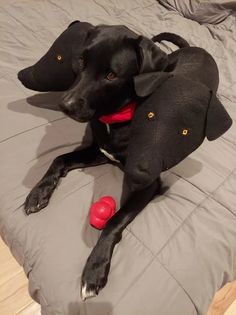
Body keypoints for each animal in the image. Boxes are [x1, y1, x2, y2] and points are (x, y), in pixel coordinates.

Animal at [17, 22, 231, 302]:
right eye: (81, 61)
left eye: (111, 75)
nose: (65, 104)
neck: (117, 119)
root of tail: (195, 48)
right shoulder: (98, 151)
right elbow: (59, 158)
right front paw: (39, 192)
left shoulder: (148, 183)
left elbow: (113, 221)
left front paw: (94, 270)